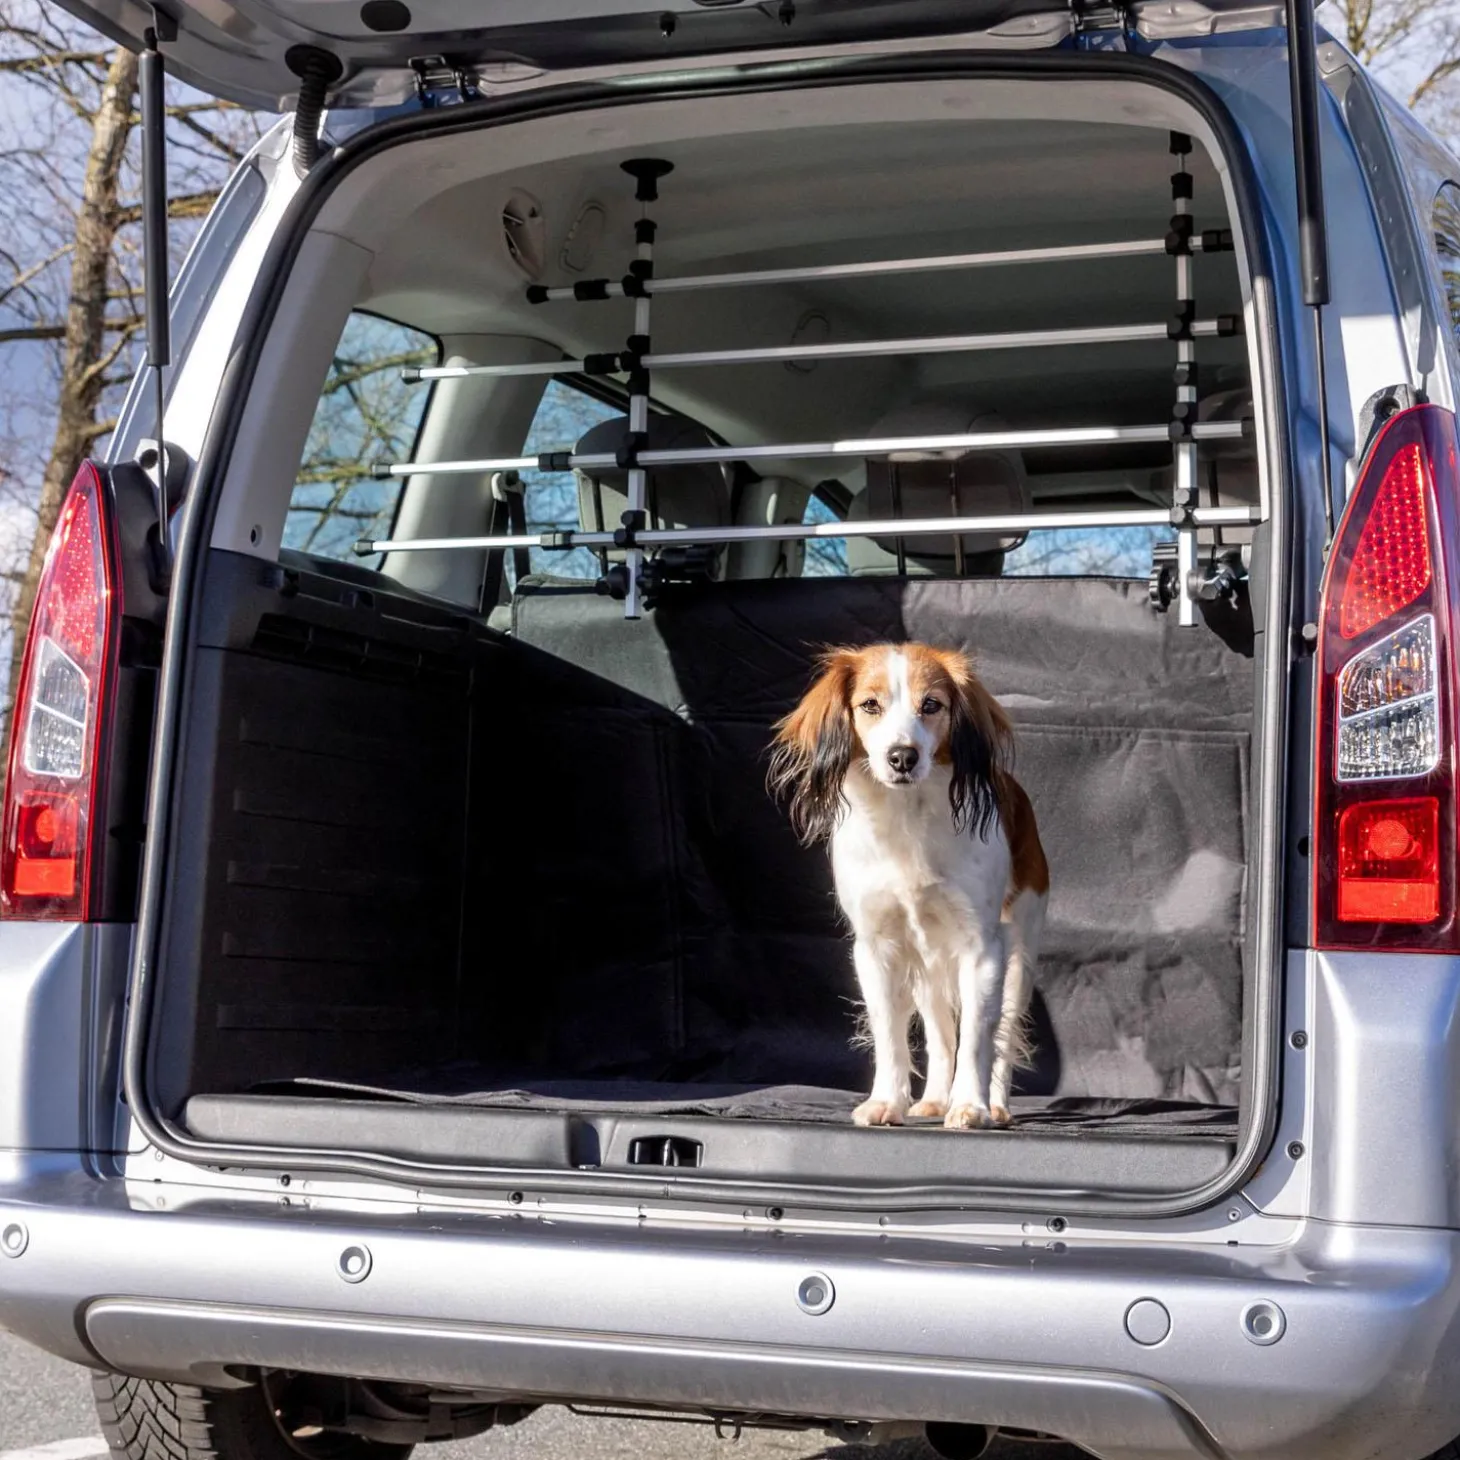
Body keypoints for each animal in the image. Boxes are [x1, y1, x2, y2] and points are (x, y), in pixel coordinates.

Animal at [769, 643, 1048, 1130]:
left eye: (931, 705)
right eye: (869, 705)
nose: (903, 756)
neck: (907, 817)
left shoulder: (982, 949)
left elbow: (978, 1035)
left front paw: (970, 1106)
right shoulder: (877, 948)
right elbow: (891, 1035)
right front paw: (887, 1101)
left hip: (1019, 956)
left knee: (1003, 1029)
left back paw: (994, 1105)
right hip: (928, 965)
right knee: (940, 1033)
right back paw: (935, 1099)